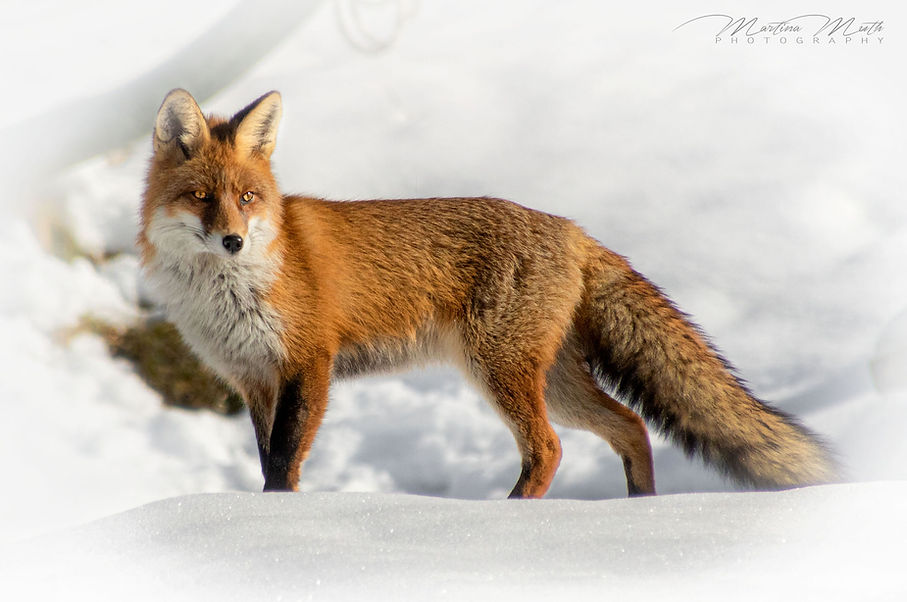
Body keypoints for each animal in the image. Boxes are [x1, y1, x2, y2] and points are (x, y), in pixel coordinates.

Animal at [139, 89, 836, 498]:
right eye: (201, 197)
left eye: (247, 197)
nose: (232, 240)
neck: (228, 294)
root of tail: (573, 230)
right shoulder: (254, 379)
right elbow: (266, 463)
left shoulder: (309, 362)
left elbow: (284, 467)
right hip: (554, 380)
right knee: (631, 425)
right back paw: (640, 513)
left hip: (500, 369)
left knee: (549, 449)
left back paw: (510, 519)